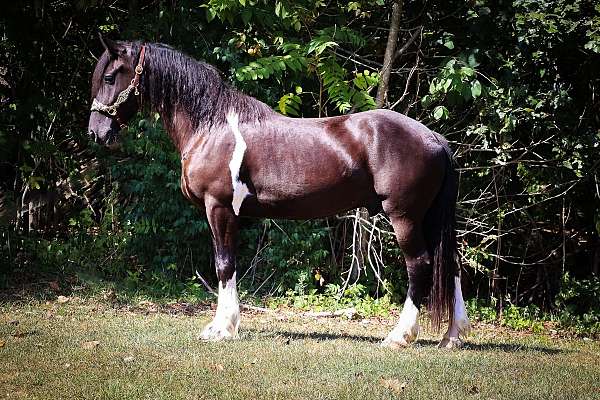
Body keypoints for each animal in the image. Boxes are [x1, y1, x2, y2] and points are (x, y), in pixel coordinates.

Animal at [88, 39, 468, 348]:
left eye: (109, 77)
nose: (97, 133)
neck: (211, 127)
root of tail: (434, 138)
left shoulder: (219, 208)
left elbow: (224, 265)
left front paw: (221, 329)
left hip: (404, 217)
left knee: (419, 265)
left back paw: (399, 336)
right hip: (430, 218)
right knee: (451, 264)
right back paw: (452, 337)